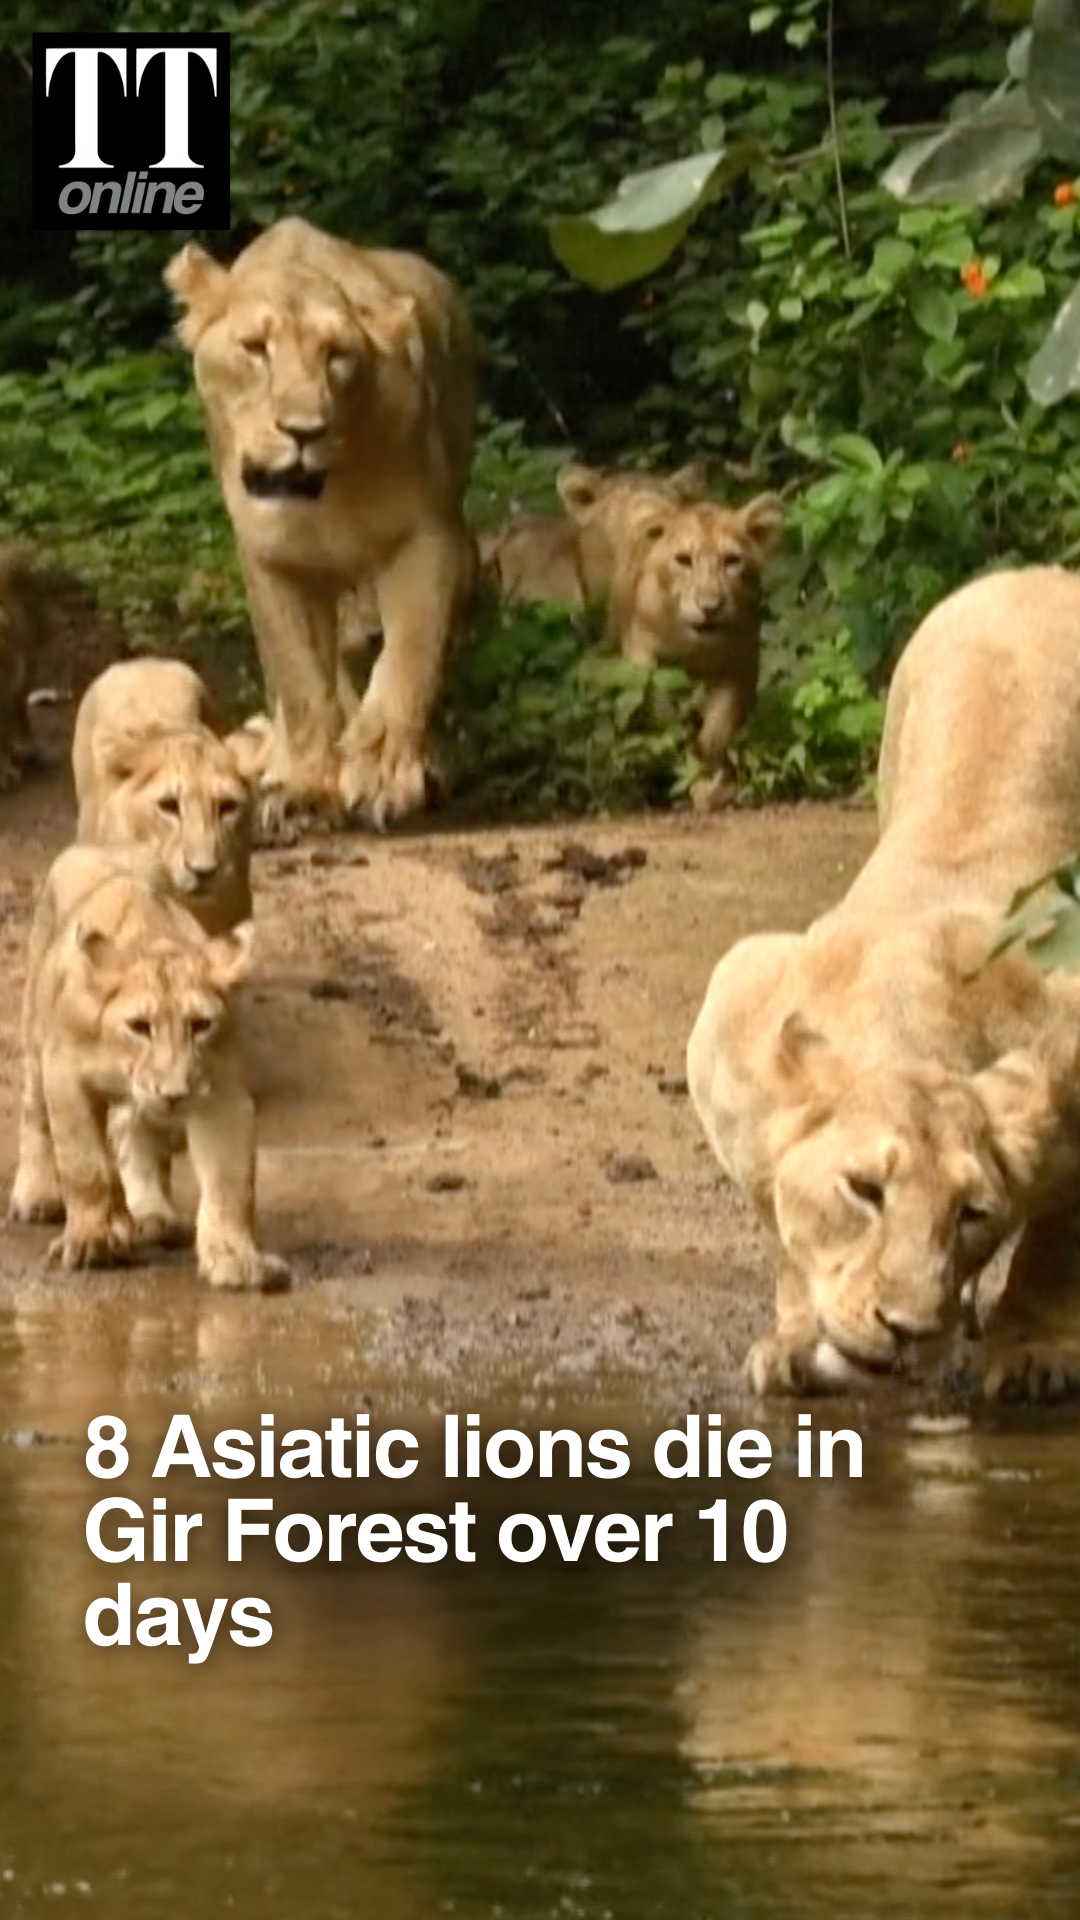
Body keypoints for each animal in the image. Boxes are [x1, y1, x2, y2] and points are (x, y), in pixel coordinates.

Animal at [8, 845, 289, 1291]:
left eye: (200, 1025)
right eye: (140, 1026)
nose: (174, 1093)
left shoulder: (221, 1090)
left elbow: (230, 1181)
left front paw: (236, 1259)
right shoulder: (65, 1072)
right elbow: (85, 1165)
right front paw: (92, 1241)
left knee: (134, 1138)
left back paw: (151, 1215)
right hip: (36, 1034)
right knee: (35, 1113)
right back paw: (37, 1197)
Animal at [164, 215, 477, 829]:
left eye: (336, 355)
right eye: (255, 349)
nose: (303, 430)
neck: (323, 495)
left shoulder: (427, 535)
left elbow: (411, 658)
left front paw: (383, 778)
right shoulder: (270, 555)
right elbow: (303, 681)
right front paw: (305, 786)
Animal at [606, 493, 784, 760]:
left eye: (732, 561)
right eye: (684, 560)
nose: (710, 607)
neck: (693, 645)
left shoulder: (741, 660)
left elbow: (722, 720)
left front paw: (708, 754)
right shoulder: (641, 648)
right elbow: (653, 691)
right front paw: (672, 734)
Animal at [687, 565, 1080, 1398]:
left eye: (972, 1212)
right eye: (863, 1190)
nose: (908, 1332)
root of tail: (1044, 573)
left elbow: (1058, 1240)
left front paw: (1034, 1351)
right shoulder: (733, 1000)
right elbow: (779, 1218)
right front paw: (796, 1340)